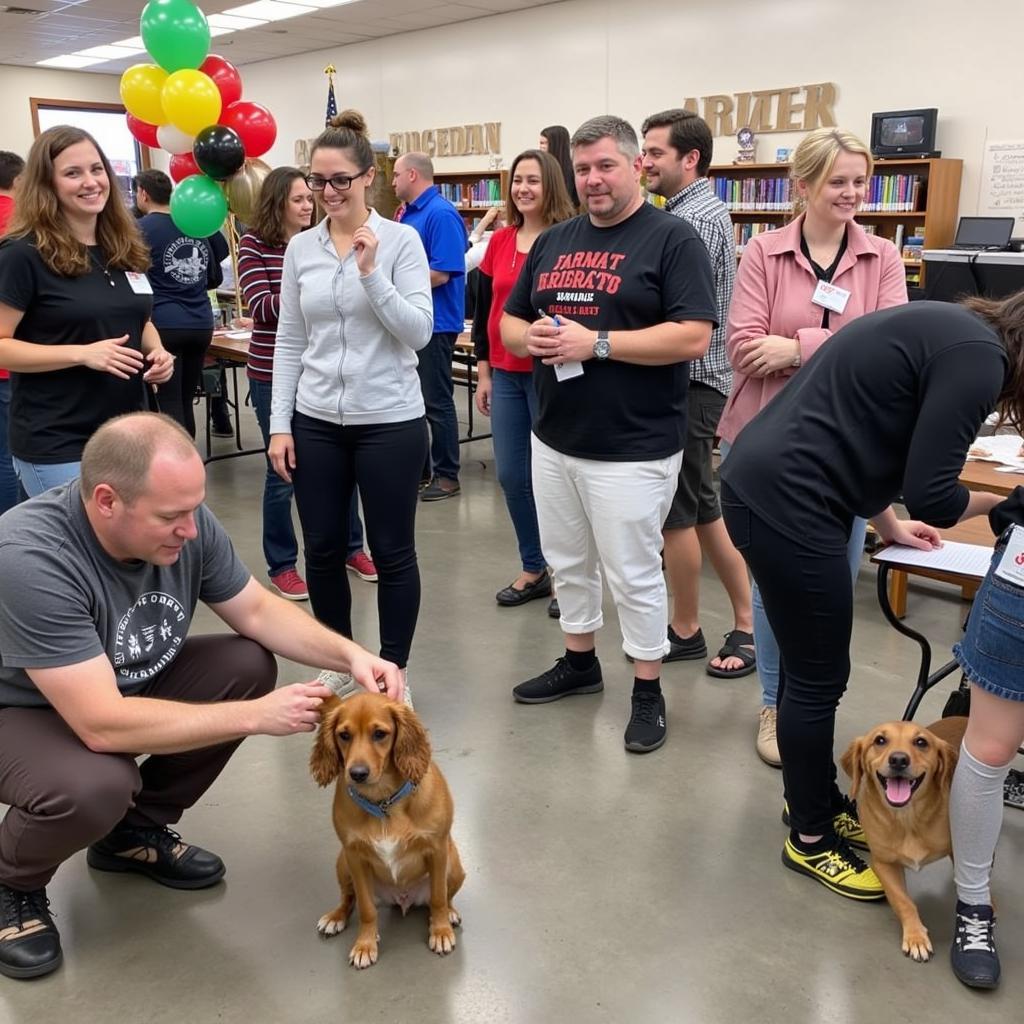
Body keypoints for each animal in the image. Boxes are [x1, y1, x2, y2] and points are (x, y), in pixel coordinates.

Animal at [303, 688, 464, 966]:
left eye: (379, 733)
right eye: (344, 735)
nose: (357, 773)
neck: (383, 802)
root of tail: (403, 899)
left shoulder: (437, 850)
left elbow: (438, 897)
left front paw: (441, 931)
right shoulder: (355, 858)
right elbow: (366, 908)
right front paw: (365, 944)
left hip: (454, 865)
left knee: (445, 896)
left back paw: (449, 915)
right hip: (342, 863)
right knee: (349, 898)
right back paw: (336, 917)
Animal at [839, 716, 966, 962]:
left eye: (921, 742)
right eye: (880, 740)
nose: (898, 759)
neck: (907, 819)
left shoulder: (960, 849)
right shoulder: (884, 863)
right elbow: (903, 900)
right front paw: (915, 936)